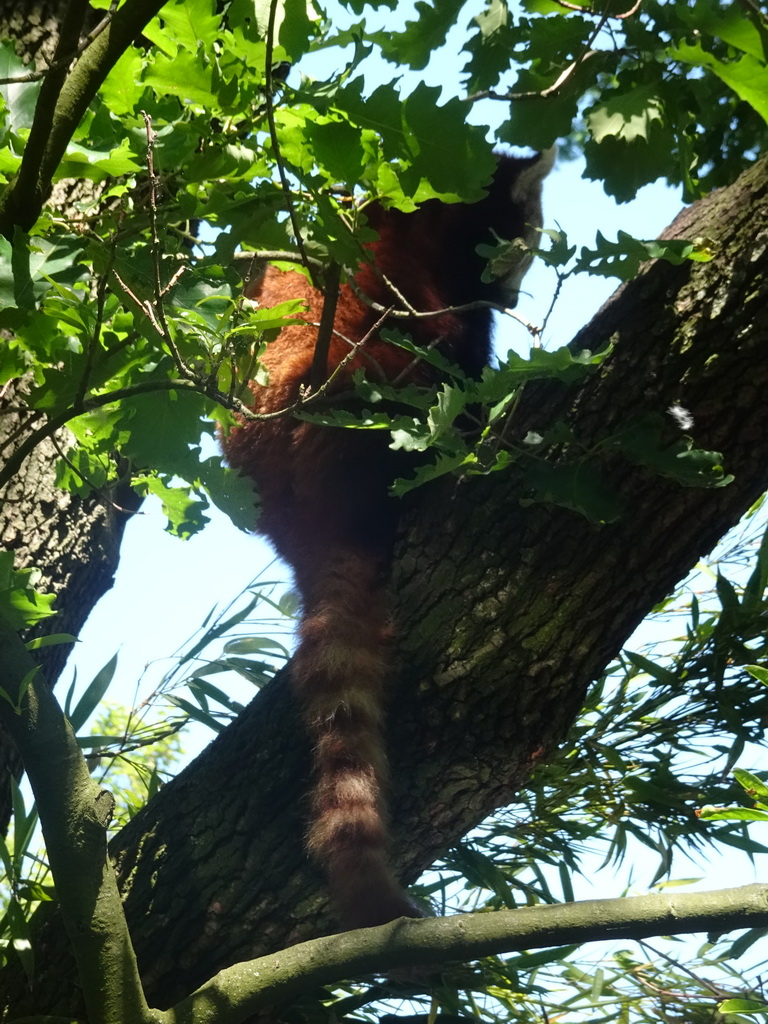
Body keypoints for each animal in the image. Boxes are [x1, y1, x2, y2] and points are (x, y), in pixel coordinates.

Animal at [222, 151, 552, 929]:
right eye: (524, 241)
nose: (515, 289)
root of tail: (299, 518)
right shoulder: (427, 285)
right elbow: (459, 344)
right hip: (348, 391)